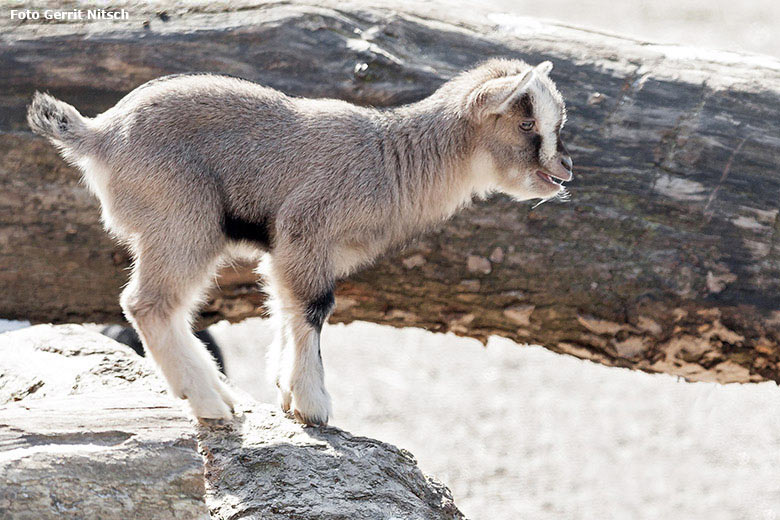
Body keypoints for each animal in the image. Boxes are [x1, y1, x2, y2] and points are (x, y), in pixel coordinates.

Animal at [29, 60, 572, 426]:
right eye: (527, 124)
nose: (565, 169)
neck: (392, 159)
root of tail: (101, 135)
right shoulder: (305, 228)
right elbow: (314, 308)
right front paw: (314, 407)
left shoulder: (288, 248)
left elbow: (286, 307)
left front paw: (285, 391)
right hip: (183, 220)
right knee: (147, 304)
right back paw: (211, 403)